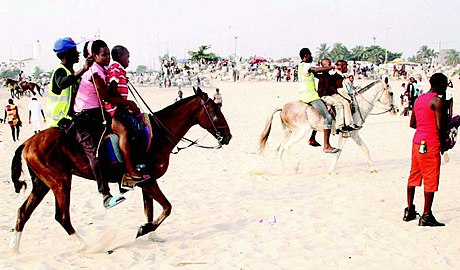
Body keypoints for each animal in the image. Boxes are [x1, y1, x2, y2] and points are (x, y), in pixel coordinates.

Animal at [9, 88, 234, 253]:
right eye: (215, 111)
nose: (228, 136)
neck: (158, 134)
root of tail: (28, 142)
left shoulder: (146, 182)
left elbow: (150, 210)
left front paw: (152, 234)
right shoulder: (149, 181)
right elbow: (167, 208)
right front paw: (145, 230)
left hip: (42, 184)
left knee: (23, 212)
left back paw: (15, 249)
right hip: (60, 182)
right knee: (62, 217)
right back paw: (84, 245)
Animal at [258, 79, 396, 174]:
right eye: (391, 93)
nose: (396, 110)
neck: (357, 106)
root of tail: (283, 107)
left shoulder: (350, 134)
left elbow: (362, 149)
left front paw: (373, 169)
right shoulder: (350, 133)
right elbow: (341, 152)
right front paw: (331, 171)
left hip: (289, 133)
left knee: (280, 148)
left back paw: (284, 170)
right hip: (301, 132)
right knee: (286, 146)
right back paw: (296, 165)